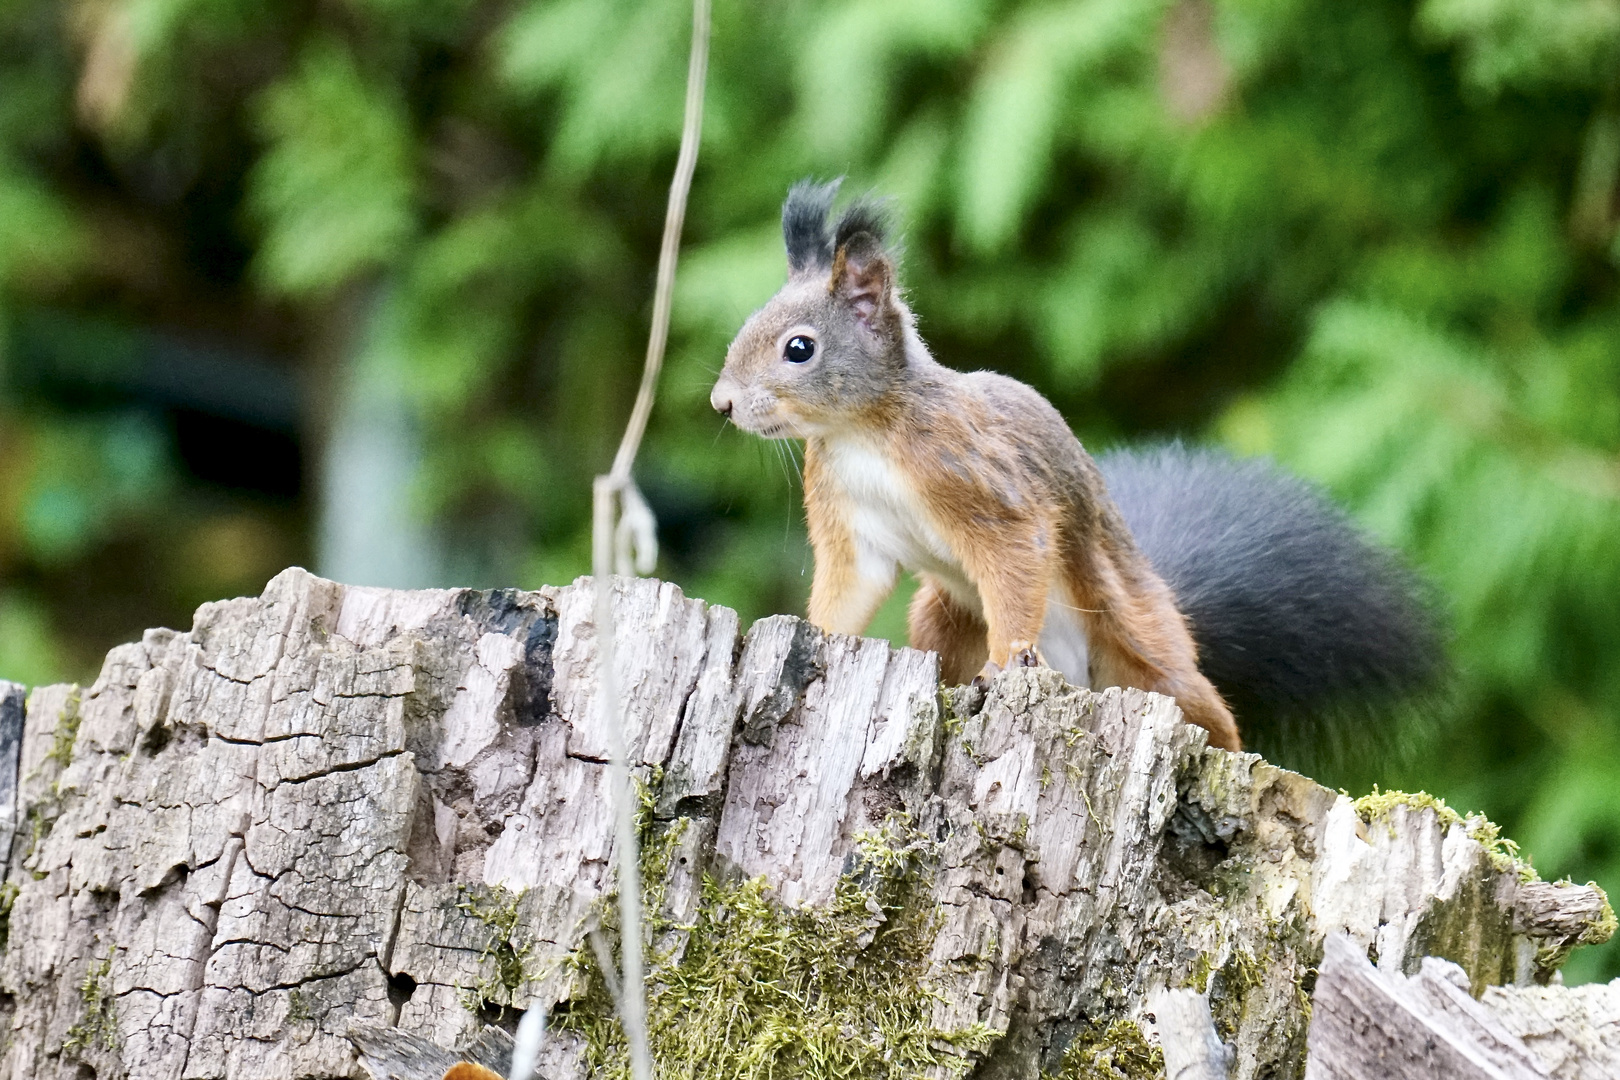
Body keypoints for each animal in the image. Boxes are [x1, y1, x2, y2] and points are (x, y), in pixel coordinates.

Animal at [709, 179, 1445, 751]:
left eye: (799, 348)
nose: (722, 404)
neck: (861, 434)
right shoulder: (849, 520)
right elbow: (849, 588)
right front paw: (812, 636)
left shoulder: (984, 486)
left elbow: (1015, 561)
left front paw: (1006, 662)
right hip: (941, 616)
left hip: (1139, 639)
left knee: (1199, 704)